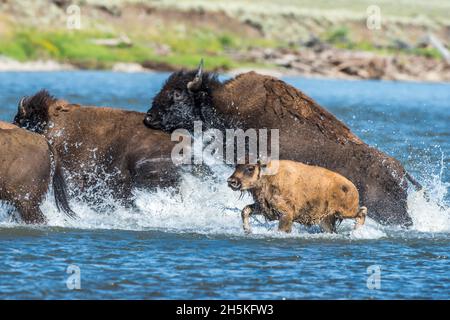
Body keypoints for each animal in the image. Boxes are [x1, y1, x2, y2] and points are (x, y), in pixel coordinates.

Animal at [227, 160, 368, 232]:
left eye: (250, 168)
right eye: (237, 166)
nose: (231, 181)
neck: (268, 178)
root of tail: (353, 188)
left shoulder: (286, 213)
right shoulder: (264, 207)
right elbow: (245, 210)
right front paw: (247, 230)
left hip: (344, 212)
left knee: (362, 211)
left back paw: (356, 232)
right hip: (327, 218)